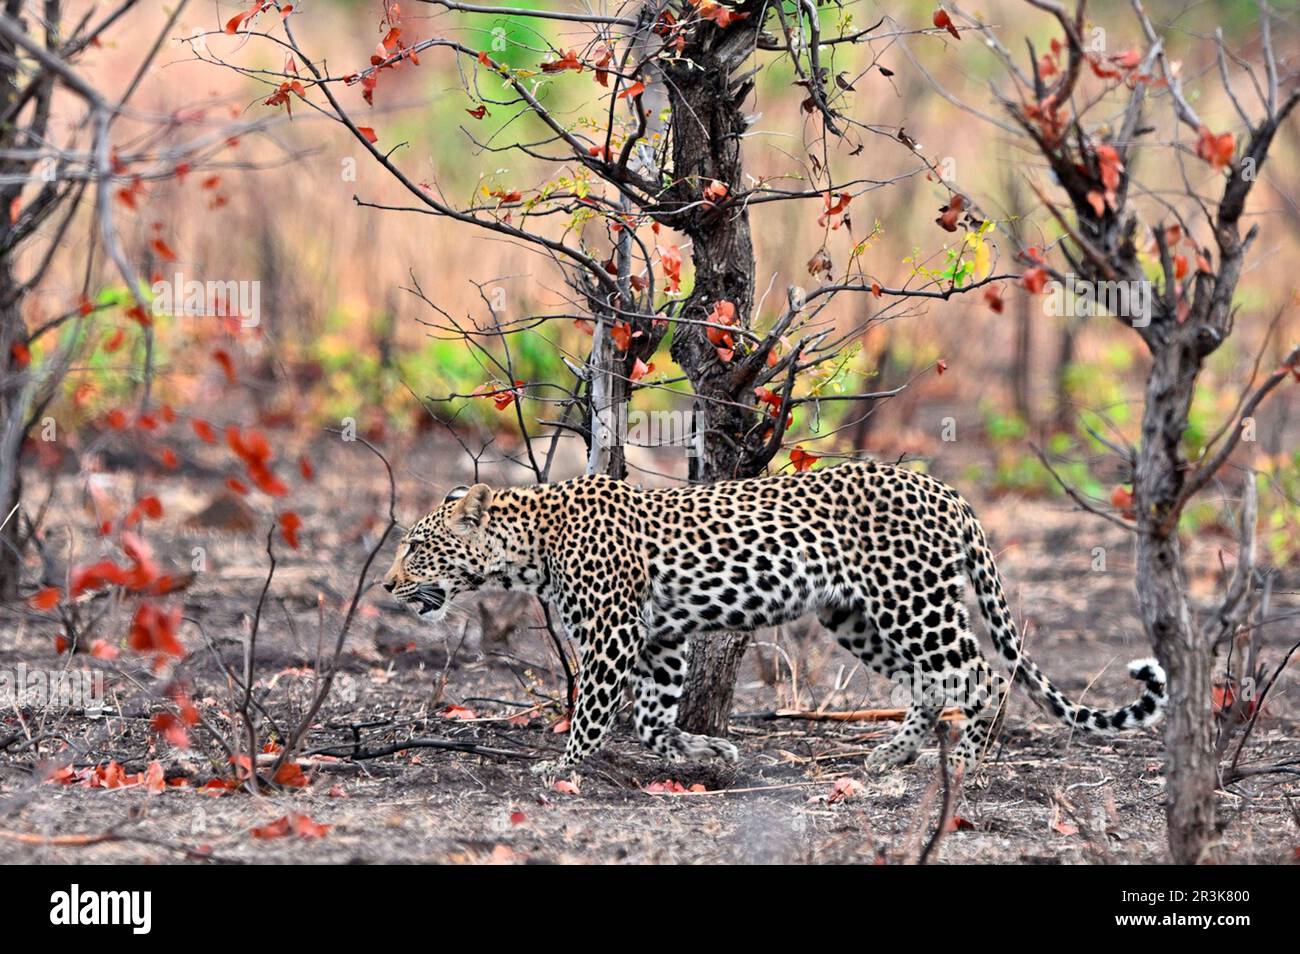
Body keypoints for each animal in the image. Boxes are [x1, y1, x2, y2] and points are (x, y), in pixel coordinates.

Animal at [381, 461, 1166, 775]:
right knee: (929, 682)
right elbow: (655, 716)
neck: (530, 544)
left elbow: (599, 710)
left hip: (912, 600)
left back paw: (962, 761)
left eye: (417, 547)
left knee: (977, 674)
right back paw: (894, 754)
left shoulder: (613, 635)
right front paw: (706, 752)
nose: (387, 585)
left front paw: (562, 767)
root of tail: (946, 489)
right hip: (856, 615)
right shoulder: (662, 636)